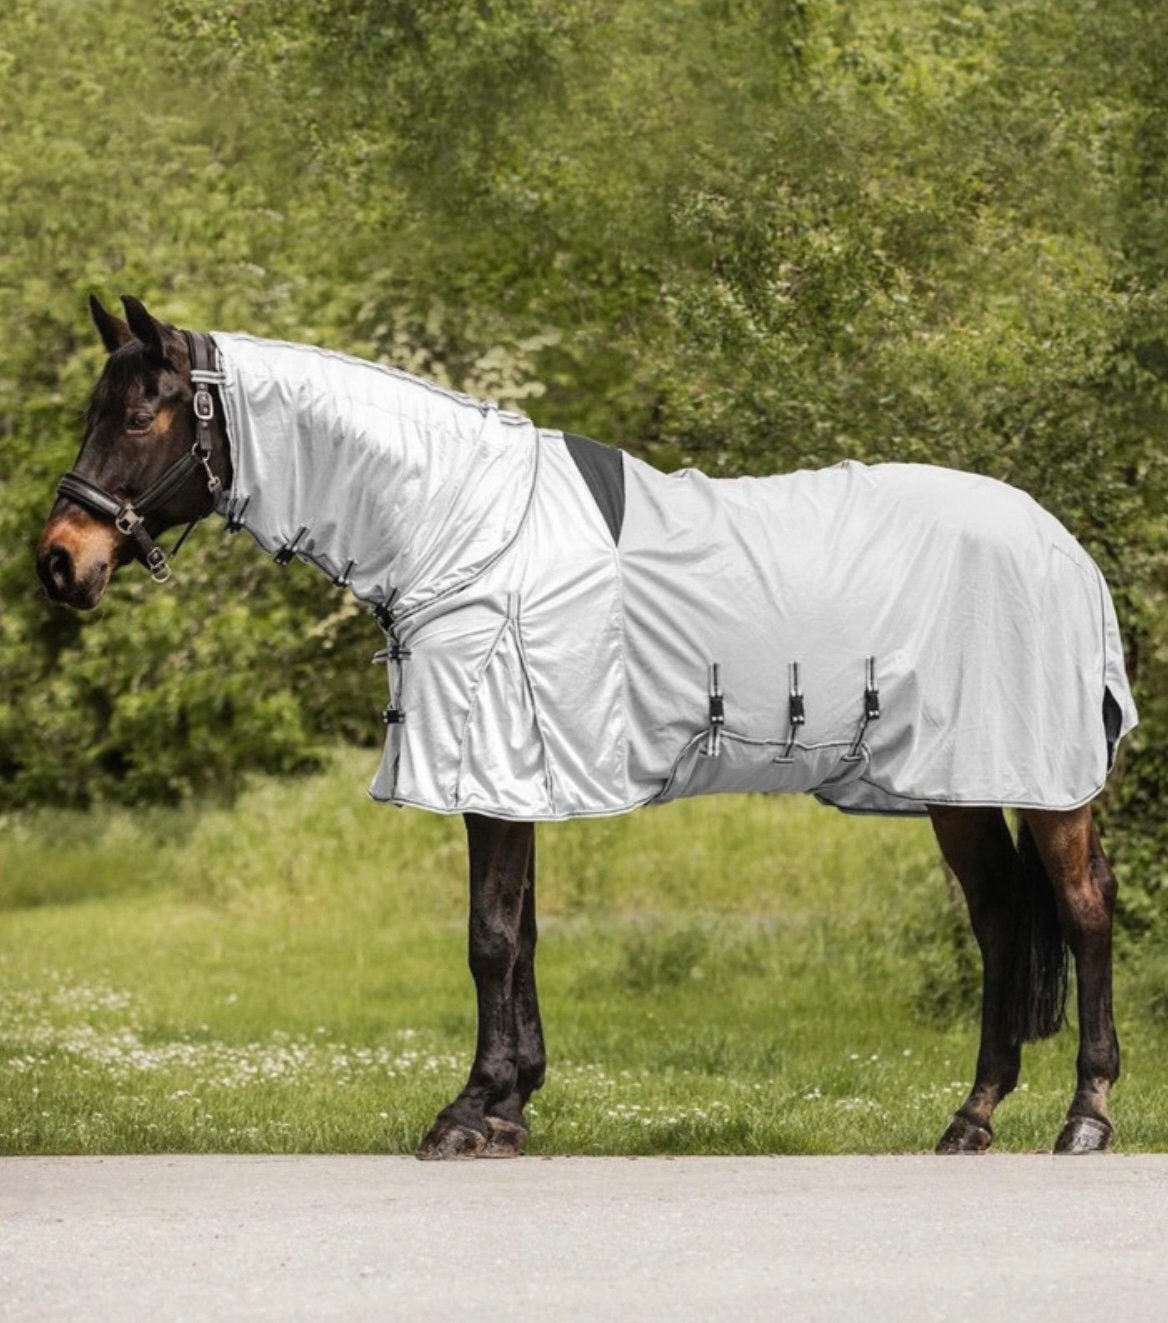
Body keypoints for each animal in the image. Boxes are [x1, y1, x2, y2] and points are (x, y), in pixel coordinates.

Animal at [37, 294, 1136, 1159]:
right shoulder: (514, 774)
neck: (464, 528)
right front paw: (510, 1106)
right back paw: (972, 1117)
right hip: (959, 784)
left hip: (1043, 782)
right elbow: (520, 937)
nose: (59, 561)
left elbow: (488, 940)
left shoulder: (491, 764)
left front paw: (467, 1114)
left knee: (1084, 910)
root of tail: (1062, 546)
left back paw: (1084, 1116)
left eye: (136, 414)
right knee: (1001, 919)